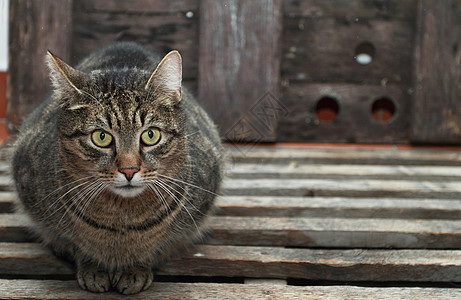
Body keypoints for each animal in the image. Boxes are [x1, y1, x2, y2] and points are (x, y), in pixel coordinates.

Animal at [11, 42, 224, 296]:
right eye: (101, 137)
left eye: (150, 135)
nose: (129, 170)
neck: (121, 222)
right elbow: (75, 246)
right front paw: (92, 268)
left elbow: (157, 248)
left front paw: (136, 269)